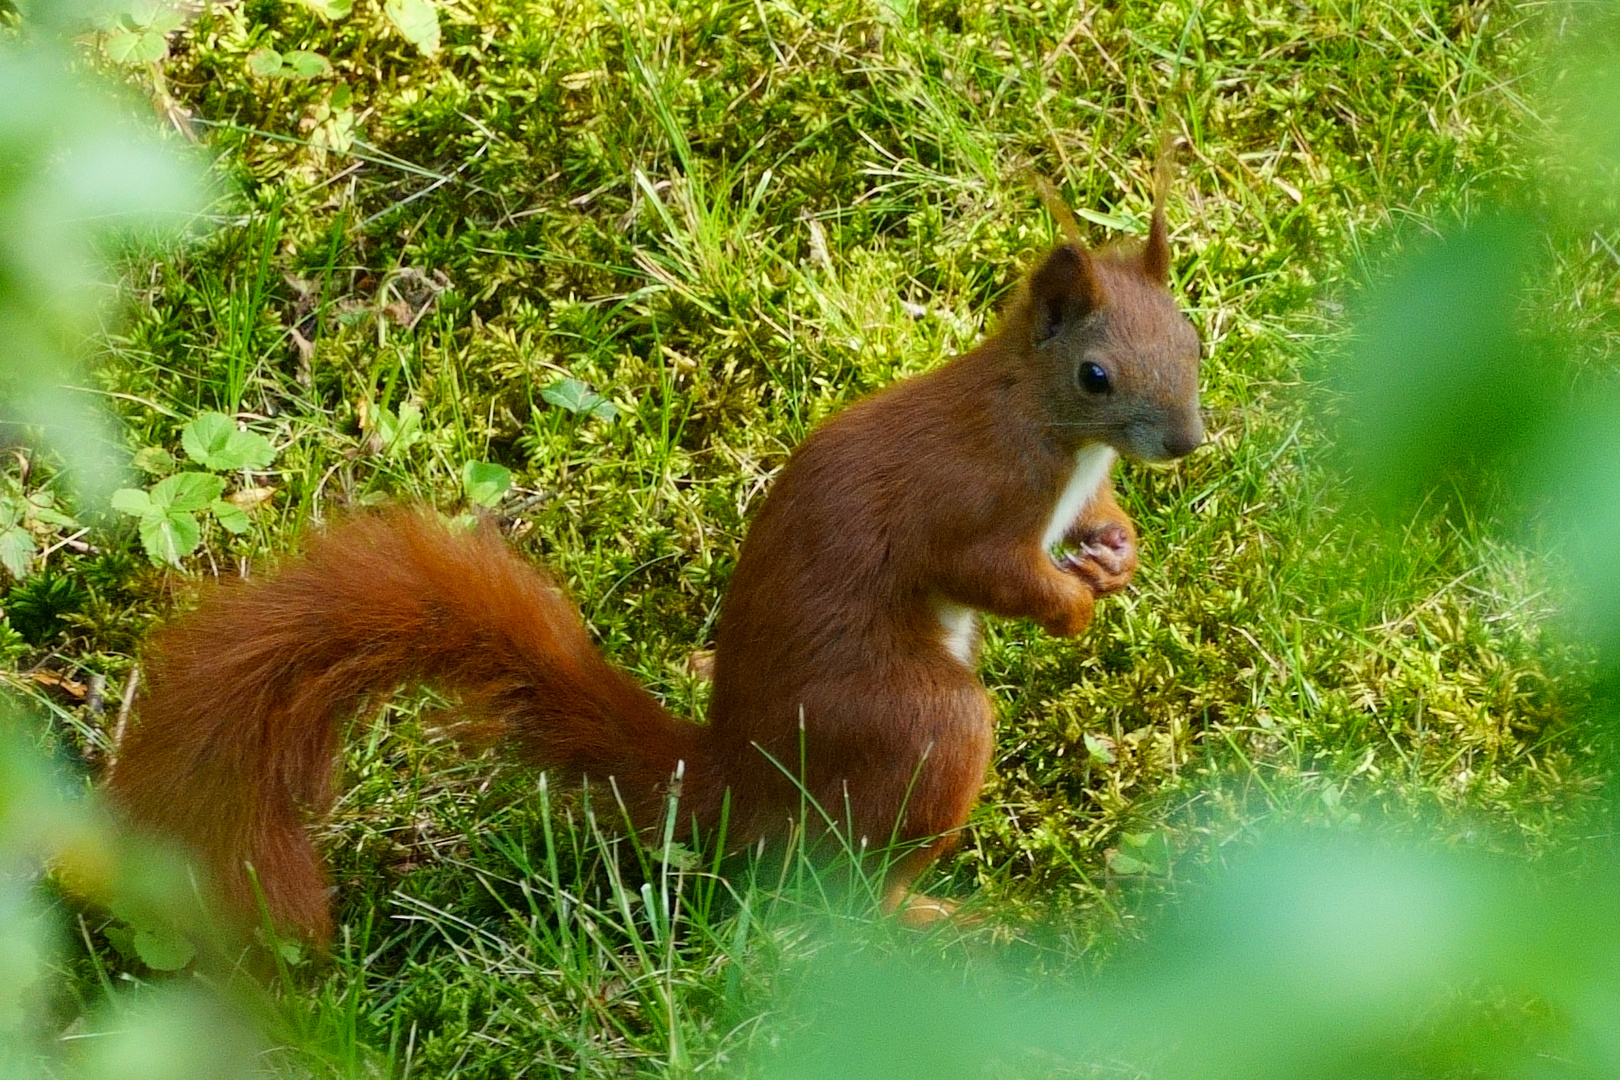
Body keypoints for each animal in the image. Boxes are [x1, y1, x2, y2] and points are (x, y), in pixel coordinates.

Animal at [104, 181, 1205, 939]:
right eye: (1096, 375)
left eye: (1194, 337)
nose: (1189, 441)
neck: (1040, 421)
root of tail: (742, 781)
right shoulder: (966, 499)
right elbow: (987, 570)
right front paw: (1070, 607)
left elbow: (1091, 523)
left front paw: (1116, 551)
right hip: (920, 725)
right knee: (855, 880)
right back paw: (936, 920)